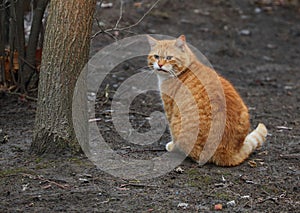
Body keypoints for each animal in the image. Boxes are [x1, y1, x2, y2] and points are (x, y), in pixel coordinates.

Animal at [148, 35, 268, 166]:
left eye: (169, 58)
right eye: (156, 56)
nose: (160, 64)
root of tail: (229, 153)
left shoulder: (170, 109)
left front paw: (172, 145)